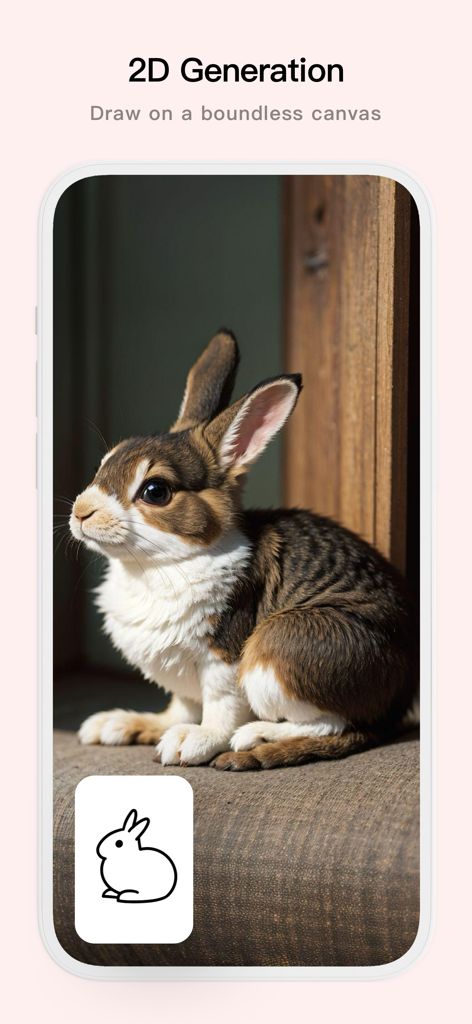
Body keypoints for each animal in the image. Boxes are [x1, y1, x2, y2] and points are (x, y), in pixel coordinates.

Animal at [71, 328, 418, 770]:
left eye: (155, 491)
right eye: (103, 464)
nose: (81, 512)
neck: (161, 564)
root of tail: (400, 699)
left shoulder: (224, 660)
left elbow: (221, 707)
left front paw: (192, 742)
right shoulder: (182, 679)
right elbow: (181, 706)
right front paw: (135, 724)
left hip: (278, 647)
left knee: (333, 724)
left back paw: (256, 736)